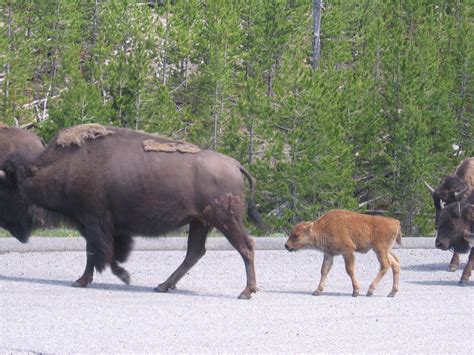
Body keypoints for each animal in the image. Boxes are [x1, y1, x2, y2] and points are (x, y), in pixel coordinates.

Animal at [0, 124, 266, 298]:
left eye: (8, 188)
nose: (7, 224)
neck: (65, 166)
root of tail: (236, 164)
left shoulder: (94, 220)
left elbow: (98, 252)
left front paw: (110, 277)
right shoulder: (101, 225)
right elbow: (100, 252)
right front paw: (85, 280)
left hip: (224, 221)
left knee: (245, 246)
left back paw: (246, 291)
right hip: (200, 222)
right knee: (195, 252)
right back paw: (163, 285)